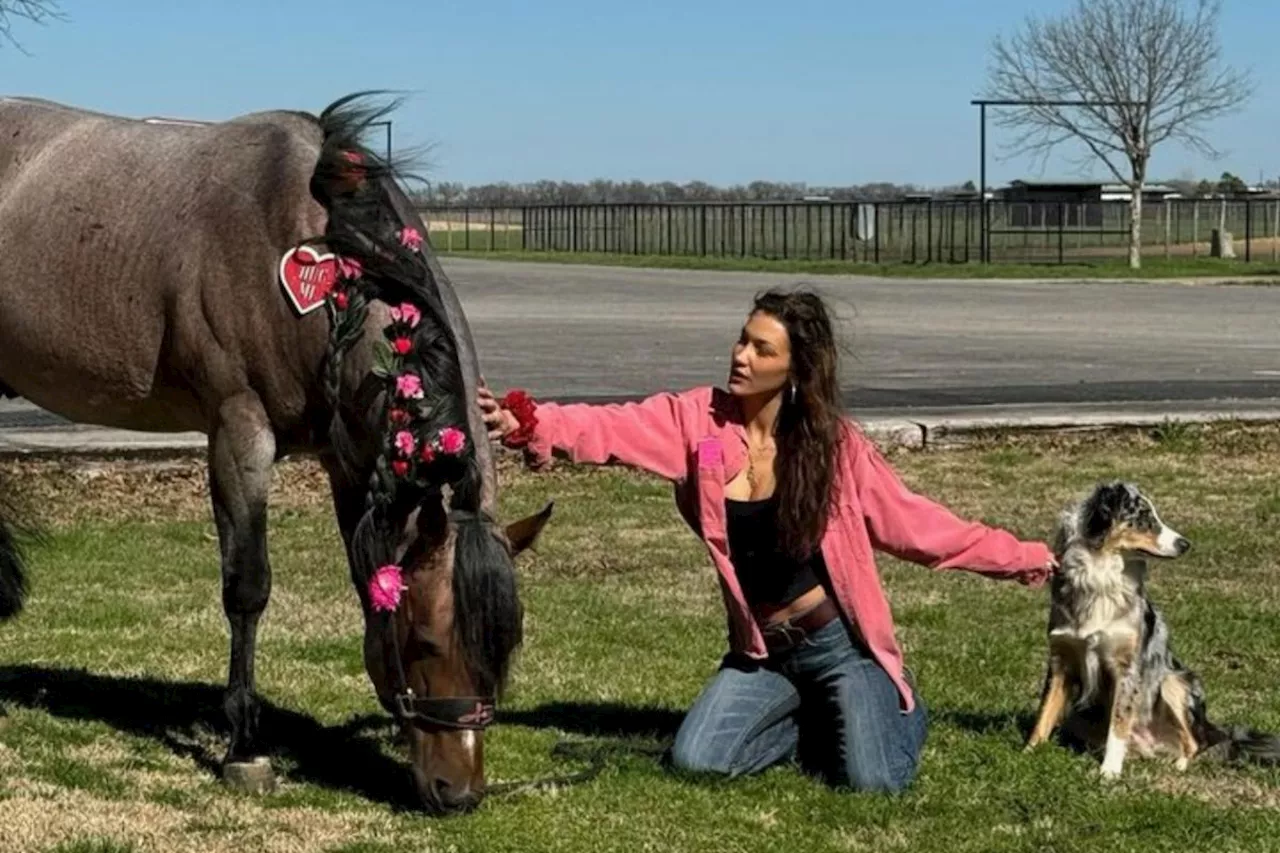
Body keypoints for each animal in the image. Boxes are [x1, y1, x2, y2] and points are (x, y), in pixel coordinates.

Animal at [0, 91, 550, 809]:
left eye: (503, 647)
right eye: (427, 639)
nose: (457, 791)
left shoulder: (349, 461)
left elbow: (363, 579)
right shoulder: (239, 432)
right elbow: (248, 586)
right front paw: (245, 745)